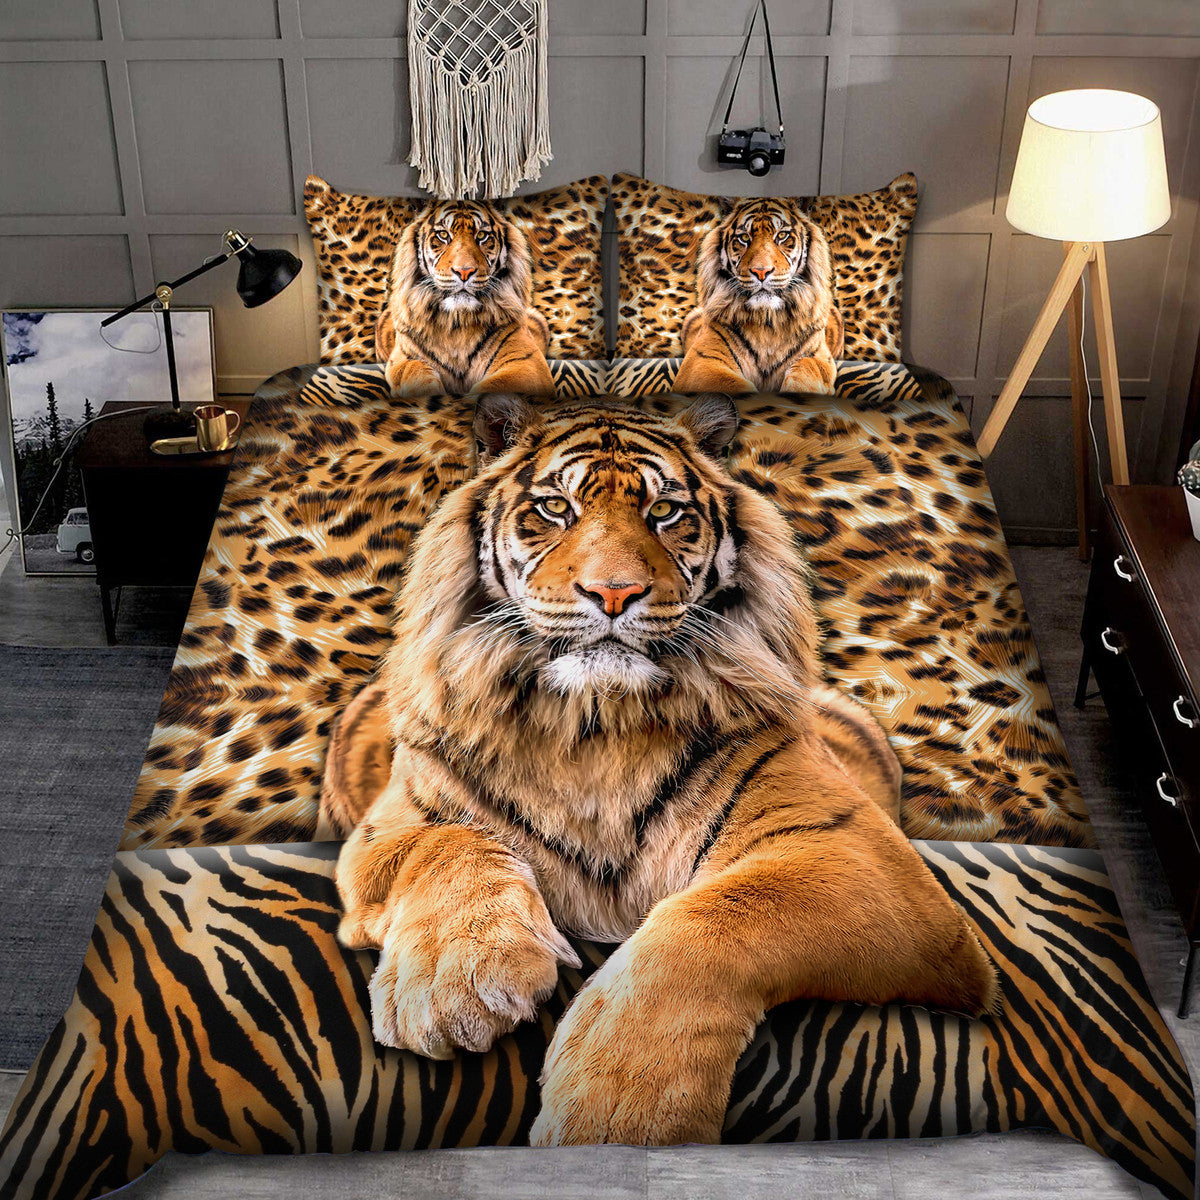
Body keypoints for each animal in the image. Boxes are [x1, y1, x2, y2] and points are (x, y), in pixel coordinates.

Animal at [318, 393, 999, 1147]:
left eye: (666, 511)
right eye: (555, 507)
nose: (614, 594)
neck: (594, 727)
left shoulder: (857, 851)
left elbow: (715, 917)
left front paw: (615, 1118)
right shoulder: (389, 824)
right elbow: (447, 842)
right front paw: (452, 984)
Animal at [375, 200, 556, 398]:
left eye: (482, 235)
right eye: (443, 235)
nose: (464, 271)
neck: (457, 323)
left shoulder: (527, 363)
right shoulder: (402, 359)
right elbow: (415, 372)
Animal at [673, 198, 845, 396]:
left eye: (782, 235)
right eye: (744, 238)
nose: (761, 271)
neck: (767, 322)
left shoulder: (819, 357)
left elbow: (807, 369)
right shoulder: (700, 361)